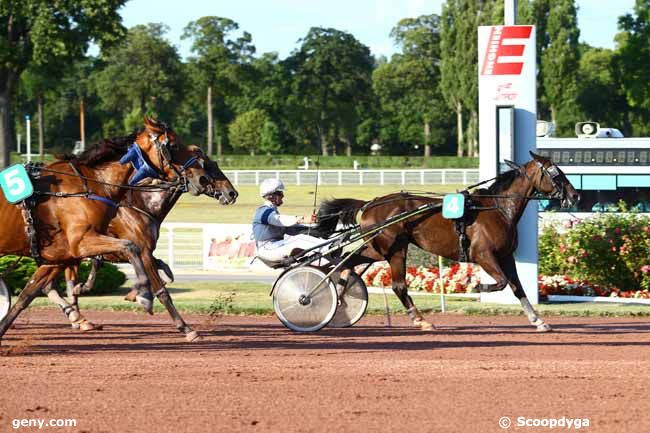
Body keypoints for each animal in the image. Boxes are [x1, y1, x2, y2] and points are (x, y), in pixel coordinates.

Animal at [0, 116, 214, 342]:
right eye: (173, 145)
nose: (202, 178)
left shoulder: (59, 255)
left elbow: (27, 294)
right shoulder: (82, 242)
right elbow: (132, 249)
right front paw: (144, 295)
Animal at [47, 154, 238, 340]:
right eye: (210, 167)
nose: (232, 193)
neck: (142, 205)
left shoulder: (140, 251)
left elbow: (166, 272)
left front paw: (135, 293)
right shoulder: (140, 251)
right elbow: (162, 289)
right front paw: (186, 328)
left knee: (52, 284)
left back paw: (79, 317)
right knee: (52, 284)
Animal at [312, 152, 576, 330]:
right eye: (556, 173)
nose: (575, 195)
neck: (498, 209)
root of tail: (369, 204)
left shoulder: (505, 255)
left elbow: (517, 287)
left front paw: (538, 320)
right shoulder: (484, 255)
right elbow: (502, 282)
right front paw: (475, 286)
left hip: (377, 248)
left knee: (345, 262)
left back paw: (340, 294)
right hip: (395, 249)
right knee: (398, 285)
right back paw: (420, 320)